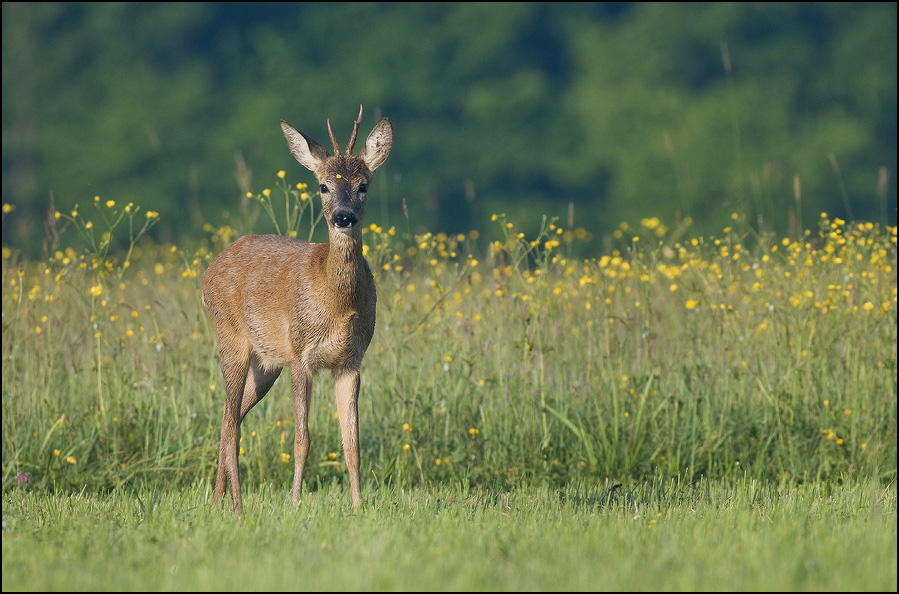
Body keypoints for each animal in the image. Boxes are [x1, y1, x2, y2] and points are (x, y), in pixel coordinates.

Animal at [204, 105, 394, 508]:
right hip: (230, 339)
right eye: (323, 186)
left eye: (363, 185)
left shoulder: (351, 361)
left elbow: (352, 443)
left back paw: (219, 502)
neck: (335, 304)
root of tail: (211, 267)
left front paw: (358, 507)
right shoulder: (300, 355)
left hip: (266, 364)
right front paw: (294, 504)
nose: (343, 216)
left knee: (231, 416)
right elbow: (301, 440)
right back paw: (235, 507)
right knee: (229, 422)